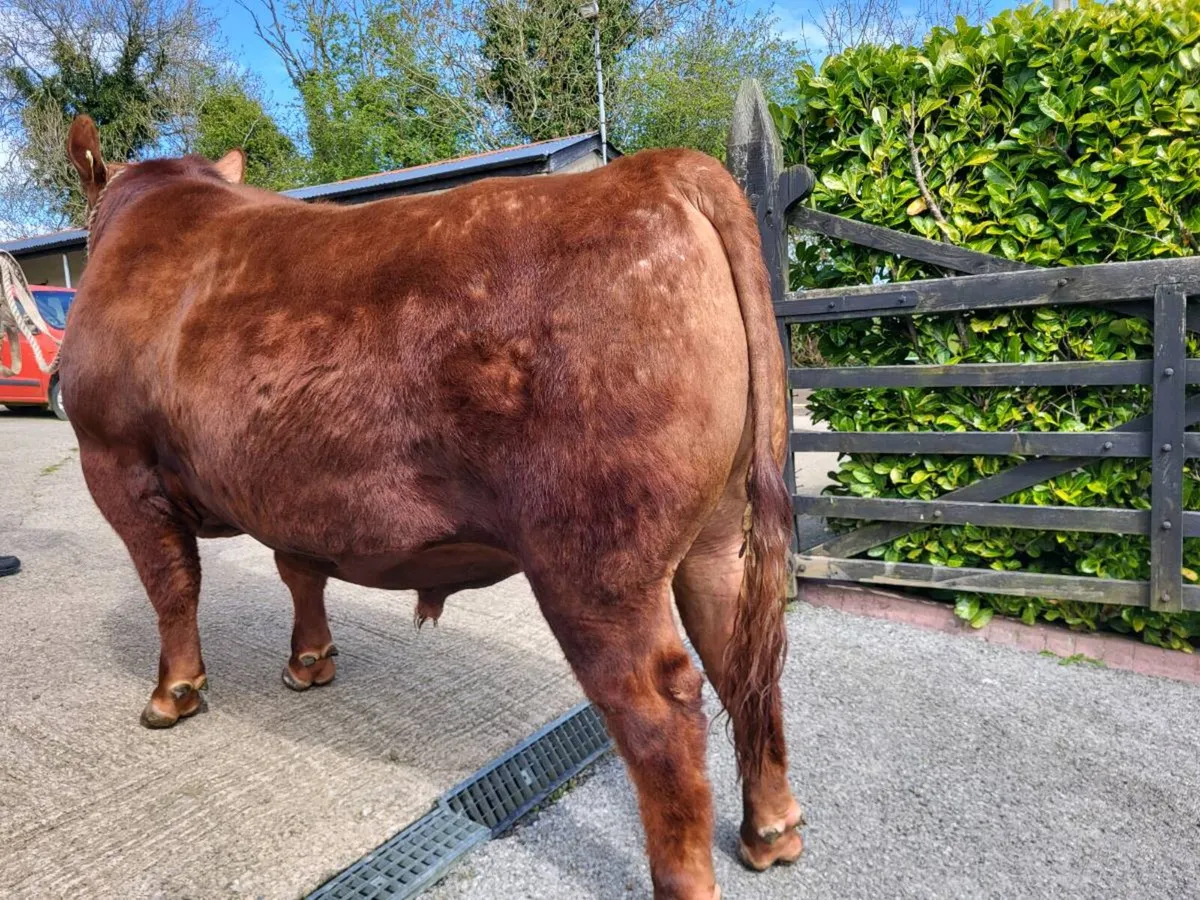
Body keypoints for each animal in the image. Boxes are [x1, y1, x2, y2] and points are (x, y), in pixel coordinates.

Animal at [60, 115, 801, 899]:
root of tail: (659, 169)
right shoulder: (290, 490)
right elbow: (298, 571)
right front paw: (308, 661)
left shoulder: (115, 461)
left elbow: (172, 585)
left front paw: (172, 692)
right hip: (717, 531)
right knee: (740, 657)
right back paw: (771, 829)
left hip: (593, 555)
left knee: (659, 707)